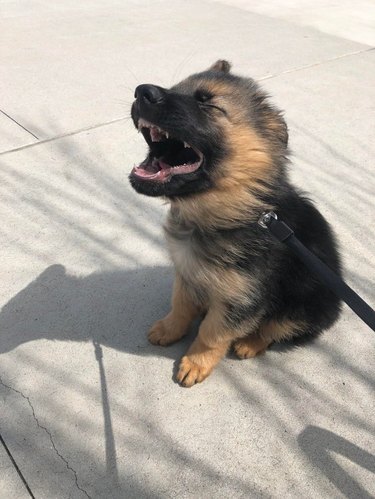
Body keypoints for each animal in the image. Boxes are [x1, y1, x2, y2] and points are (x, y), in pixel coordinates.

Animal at [130, 58, 344, 386]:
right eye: (176, 89)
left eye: (207, 103)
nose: (142, 92)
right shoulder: (186, 271)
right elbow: (180, 304)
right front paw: (169, 329)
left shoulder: (242, 298)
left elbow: (213, 331)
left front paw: (196, 361)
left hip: (303, 308)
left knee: (274, 329)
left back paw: (249, 343)